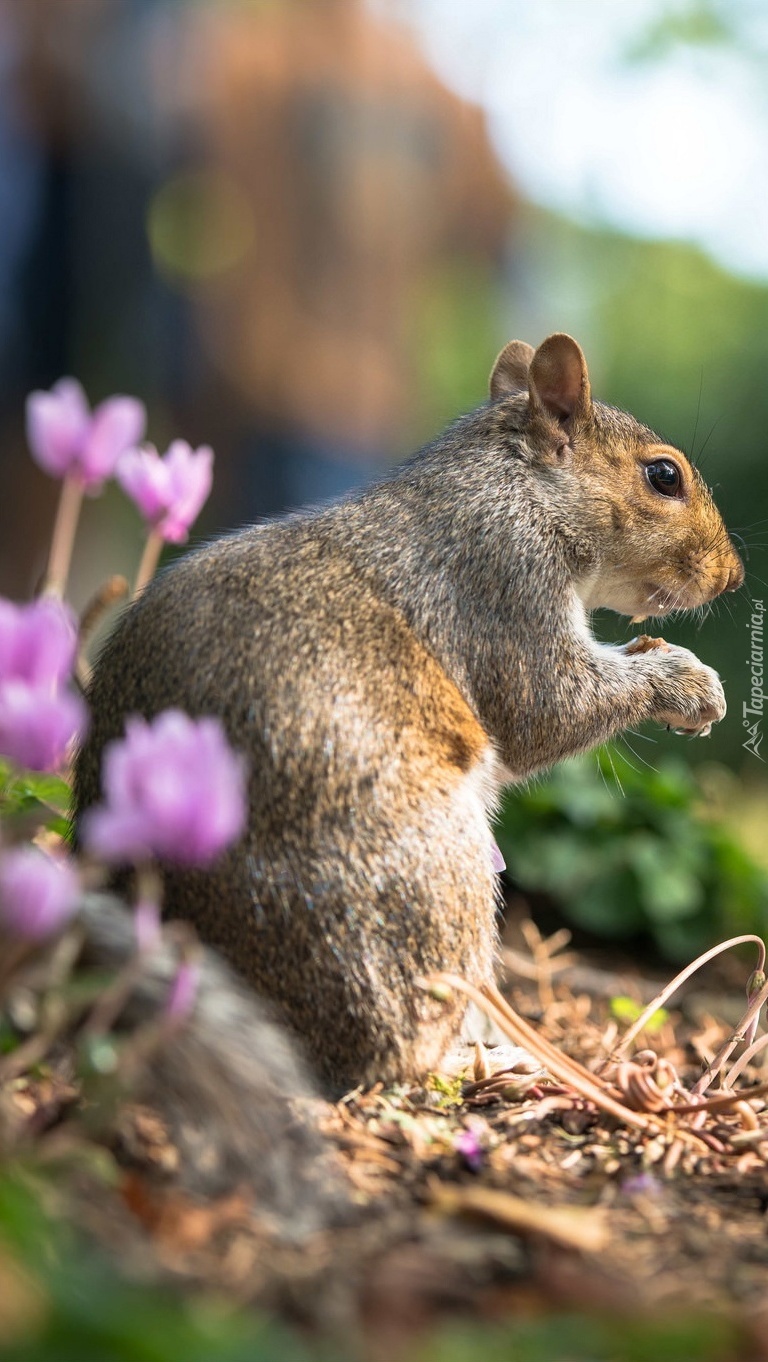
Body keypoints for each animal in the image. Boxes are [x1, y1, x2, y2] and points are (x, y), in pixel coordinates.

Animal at [73, 332, 746, 1116]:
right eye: (663, 476)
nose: (732, 575)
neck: (513, 485)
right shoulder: (502, 581)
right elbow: (549, 708)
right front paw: (688, 684)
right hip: (432, 881)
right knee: (395, 1056)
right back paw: (494, 1062)